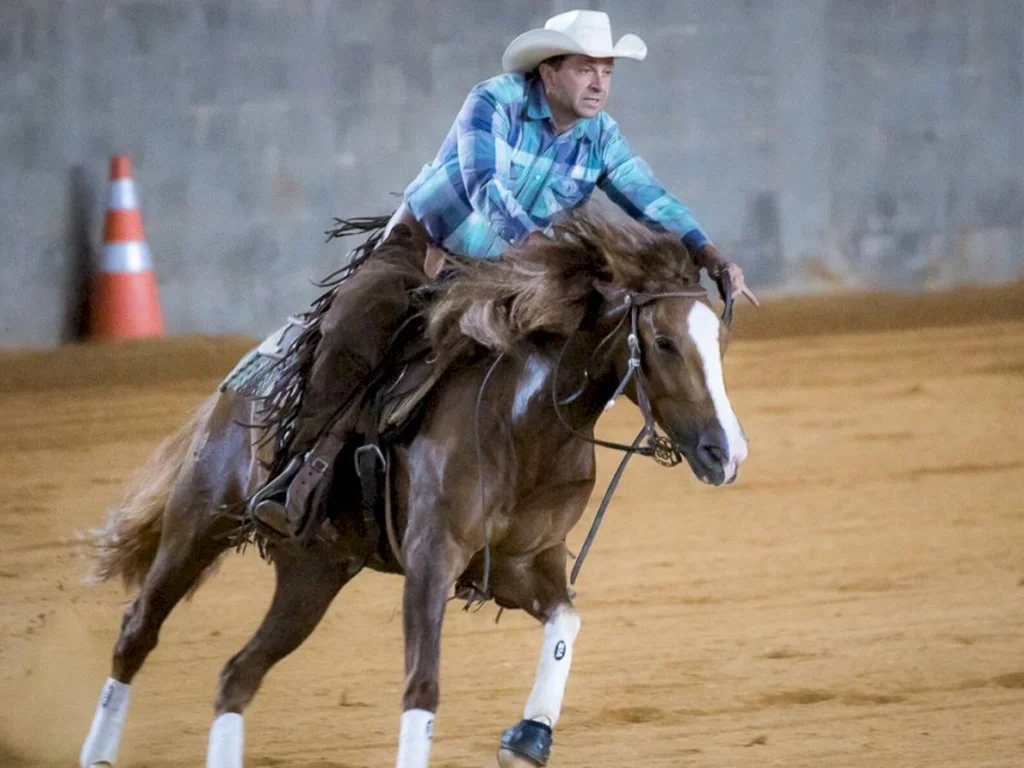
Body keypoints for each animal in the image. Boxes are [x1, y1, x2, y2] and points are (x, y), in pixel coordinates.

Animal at [78, 214, 748, 768]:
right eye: (663, 342)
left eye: (719, 341)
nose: (727, 453)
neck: (521, 422)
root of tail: (245, 375)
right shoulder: (431, 558)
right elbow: (422, 685)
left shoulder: (525, 564)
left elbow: (567, 622)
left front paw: (528, 738)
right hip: (200, 520)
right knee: (137, 632)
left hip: (312, 574)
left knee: (237, 676)